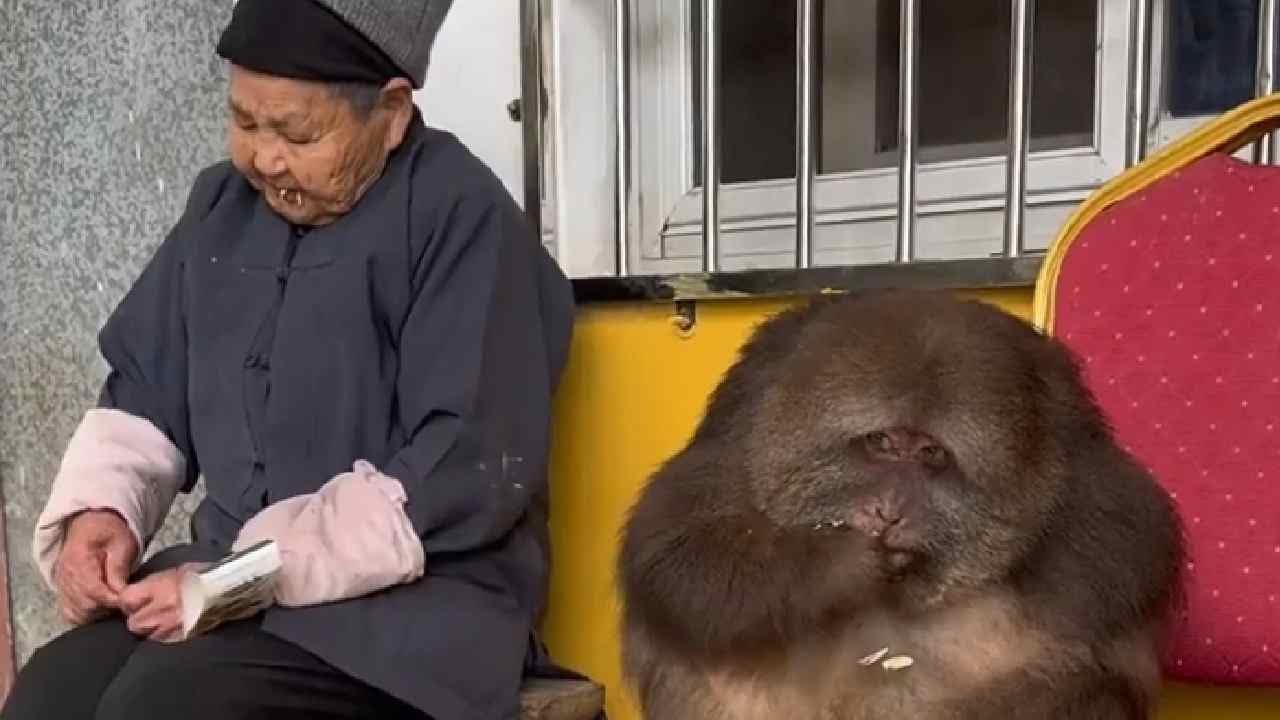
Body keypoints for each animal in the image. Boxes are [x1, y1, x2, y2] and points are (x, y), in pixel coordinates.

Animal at [616, 289, 1184, 720]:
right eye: (882, 443)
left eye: (931, 454)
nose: (889, 511)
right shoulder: (746, 412)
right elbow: (681, 550)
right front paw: (841, 562)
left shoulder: (1075, 461)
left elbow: (1127, 564)